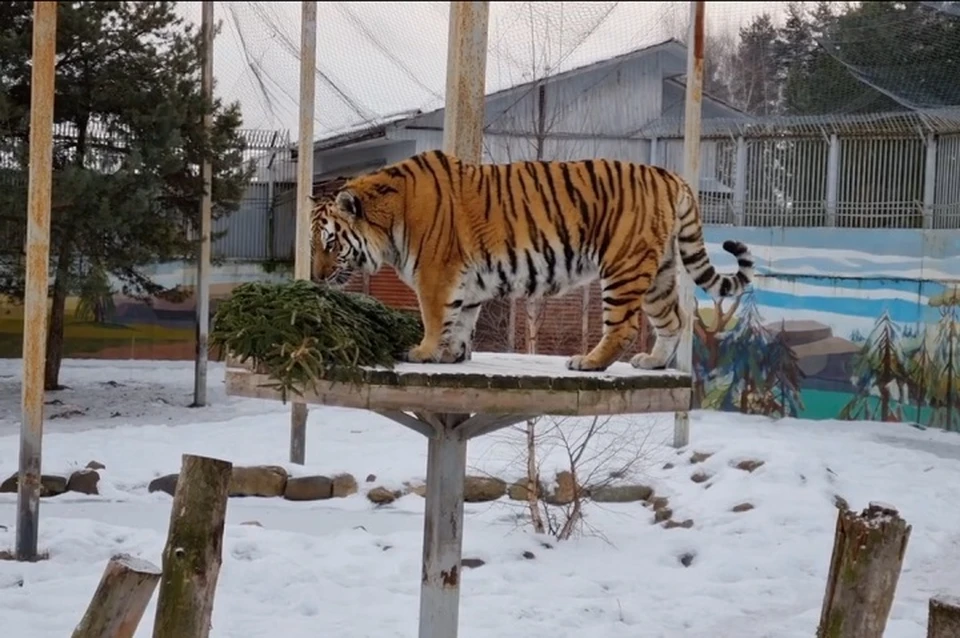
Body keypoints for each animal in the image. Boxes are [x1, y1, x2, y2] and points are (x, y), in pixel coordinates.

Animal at [312, 151, 752, 376]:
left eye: (331, 243)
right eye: (314, 244)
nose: (315, 279)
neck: (388, 219)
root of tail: (670, 176)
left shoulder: (437, 274)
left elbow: (436, 317)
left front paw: (422, 352)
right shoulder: (467, 281)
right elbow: (460, 319)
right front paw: (449, 353)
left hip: (623, 266)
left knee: (624, 326)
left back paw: (589, 362)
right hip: (659, 271)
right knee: (674, 318)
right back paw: (654, 362)